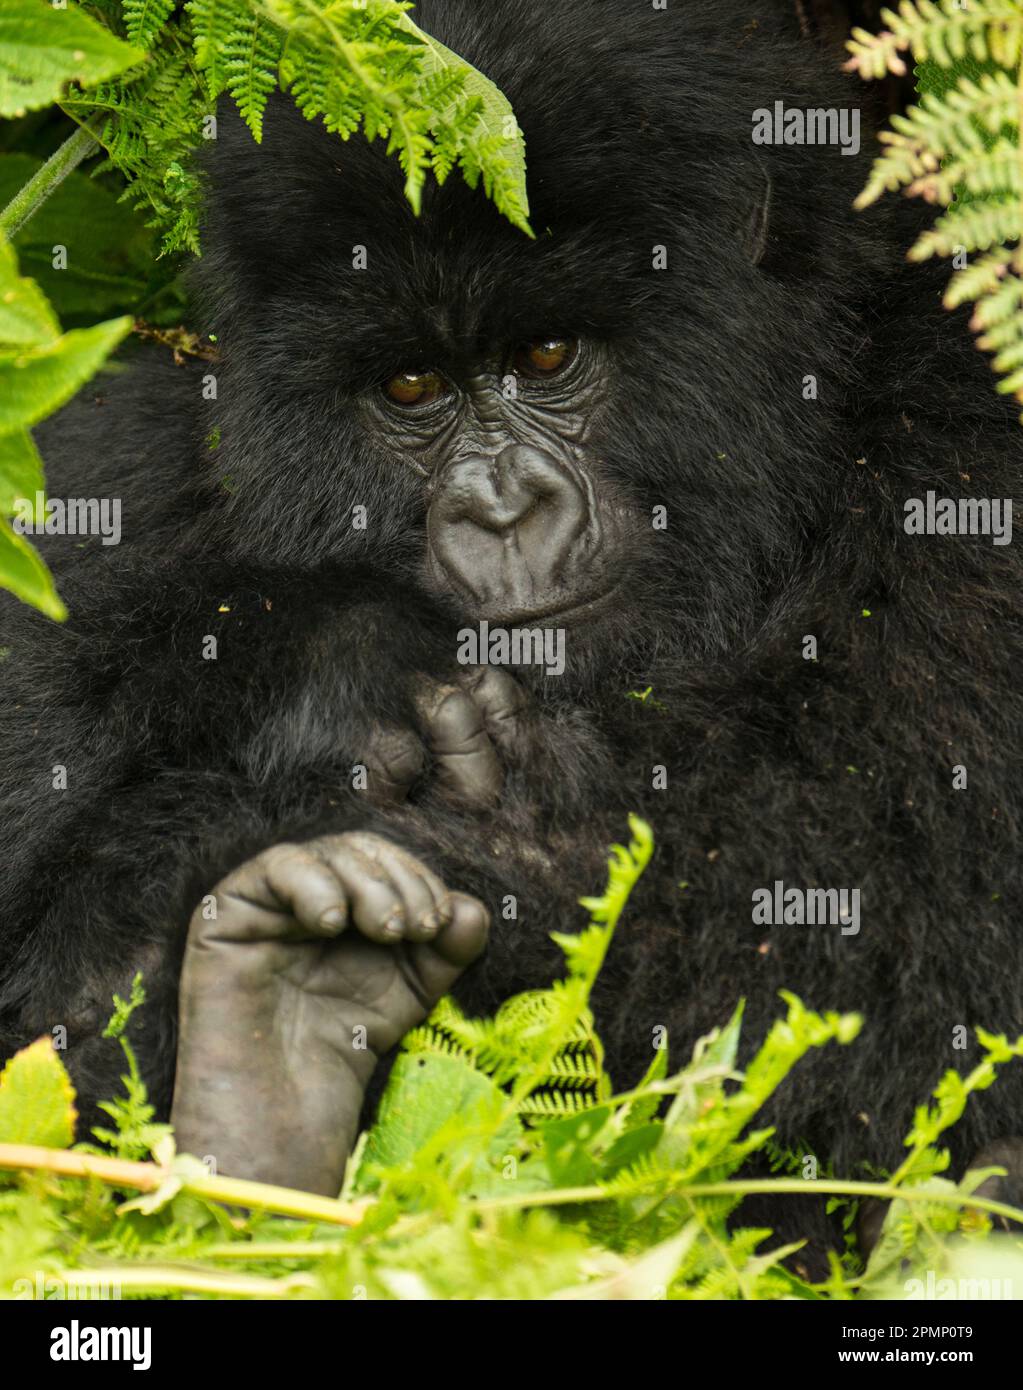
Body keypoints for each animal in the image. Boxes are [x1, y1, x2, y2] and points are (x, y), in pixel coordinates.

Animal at [1, 0, 1023, 1256]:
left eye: (545, 356)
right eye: (409, 388)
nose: (499, 511)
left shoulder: (967, 452)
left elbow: (882, 900)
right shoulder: (125, 457)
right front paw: (340, 661)